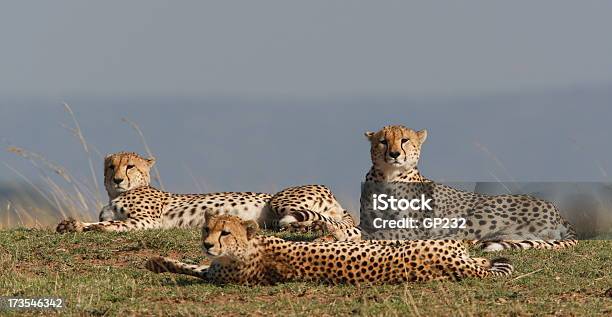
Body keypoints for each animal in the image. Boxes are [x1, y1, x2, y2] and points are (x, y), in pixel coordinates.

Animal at [57, 151, 354, 232]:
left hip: (281, 199)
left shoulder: (147, 221)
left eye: (130, 166)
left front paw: (92, 228)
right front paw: (73, 225)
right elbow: (96, 222)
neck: (116, 195)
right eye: (111, 166)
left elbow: (113, 226)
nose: (118, 179)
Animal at [316, 124, 580, 251]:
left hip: (480, 214)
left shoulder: (410, 229)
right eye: (383, 141)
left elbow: (378, 234)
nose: (394, 154)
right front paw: (330, 235)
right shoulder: (369, 221)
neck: (389, 177)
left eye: (404, 140)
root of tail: (557, 211)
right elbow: (354, 229)